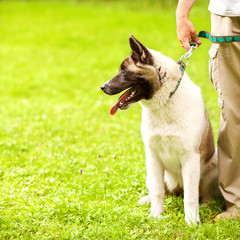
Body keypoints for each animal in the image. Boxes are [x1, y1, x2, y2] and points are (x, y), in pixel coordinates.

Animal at [100, 35, 220, 225]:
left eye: (124, 72)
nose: (103, 87)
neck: (166, 101)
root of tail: (177, 188)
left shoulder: (190, 158)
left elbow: (191, 196)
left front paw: (192, 221)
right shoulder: (153, 155)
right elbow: (158, 192)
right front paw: (155, 215)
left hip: (214, 160)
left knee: (201, 195)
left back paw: (205, 206)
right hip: (151, 172)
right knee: (161, 191)